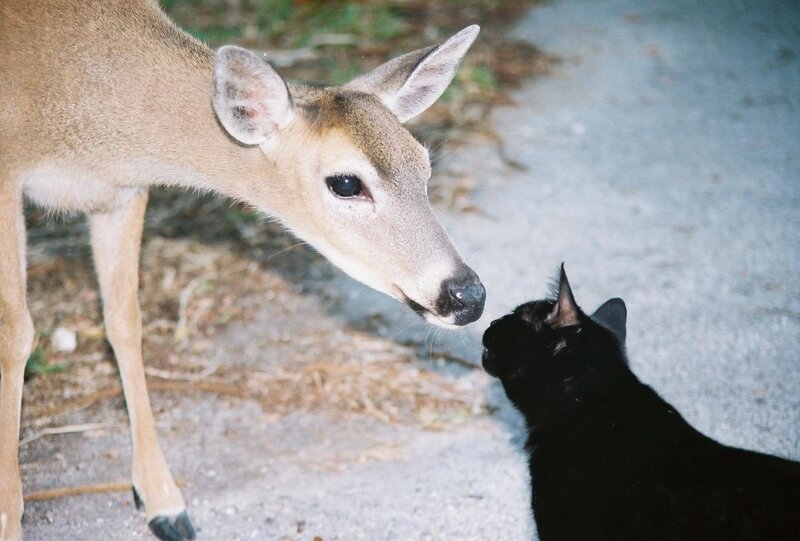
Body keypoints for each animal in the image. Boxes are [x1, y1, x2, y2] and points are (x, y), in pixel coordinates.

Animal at [0, 1, 487, 540]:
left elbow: (124, 321)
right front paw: (8, 513)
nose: (467, 295)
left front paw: (163, 501)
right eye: (345, 183)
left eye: (425, 165)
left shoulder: (121, 191)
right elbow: (15, 335)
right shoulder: (7, 175)